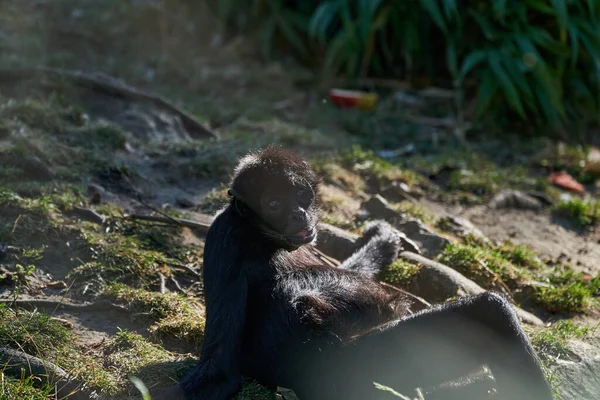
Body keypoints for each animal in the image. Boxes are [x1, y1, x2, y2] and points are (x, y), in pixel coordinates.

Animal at [156, 147, 552, 400]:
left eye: (300, 196)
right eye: (274, 203)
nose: (299, 214)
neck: (261, 238)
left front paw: (383, 239)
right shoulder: (226, 239)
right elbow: (219, 374)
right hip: (367, 365)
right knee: (489, 308)